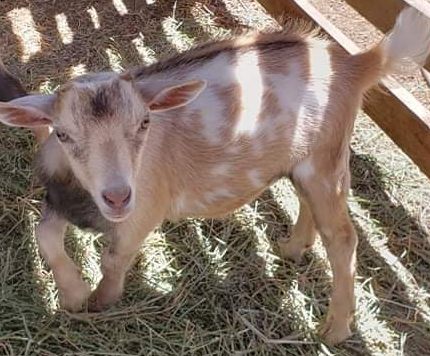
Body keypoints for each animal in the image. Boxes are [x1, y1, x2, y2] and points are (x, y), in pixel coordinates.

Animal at [0, 6, 430, 344]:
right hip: (307, 160)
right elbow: (44, 233)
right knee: (311, 206)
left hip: (325, 161)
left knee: (342, 238)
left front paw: (98, 303)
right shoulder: (64, 198)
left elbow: (113, 260)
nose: (118, 196)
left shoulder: (142, 211)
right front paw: (73, 294)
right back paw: (293, 249)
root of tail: (354, 64)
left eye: (144, 123)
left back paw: (335, 330)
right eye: (62, 134)